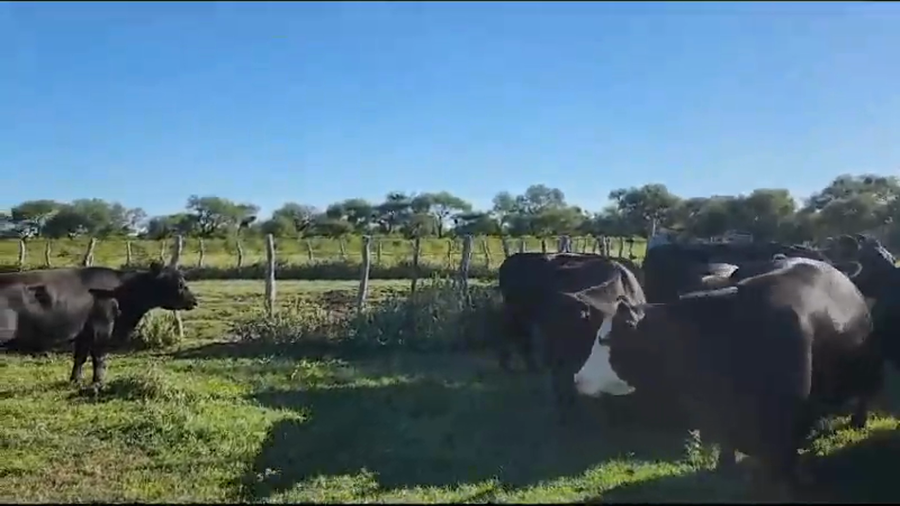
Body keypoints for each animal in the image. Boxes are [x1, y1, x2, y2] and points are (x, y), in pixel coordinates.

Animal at [573, 257, 881, 496]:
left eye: (605, 339)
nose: (577, 378)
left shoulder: (790, 418)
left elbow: (785, 460)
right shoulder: (718, 410)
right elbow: (727, 443)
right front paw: (725, 469)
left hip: (865, 370)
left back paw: (858, 421)